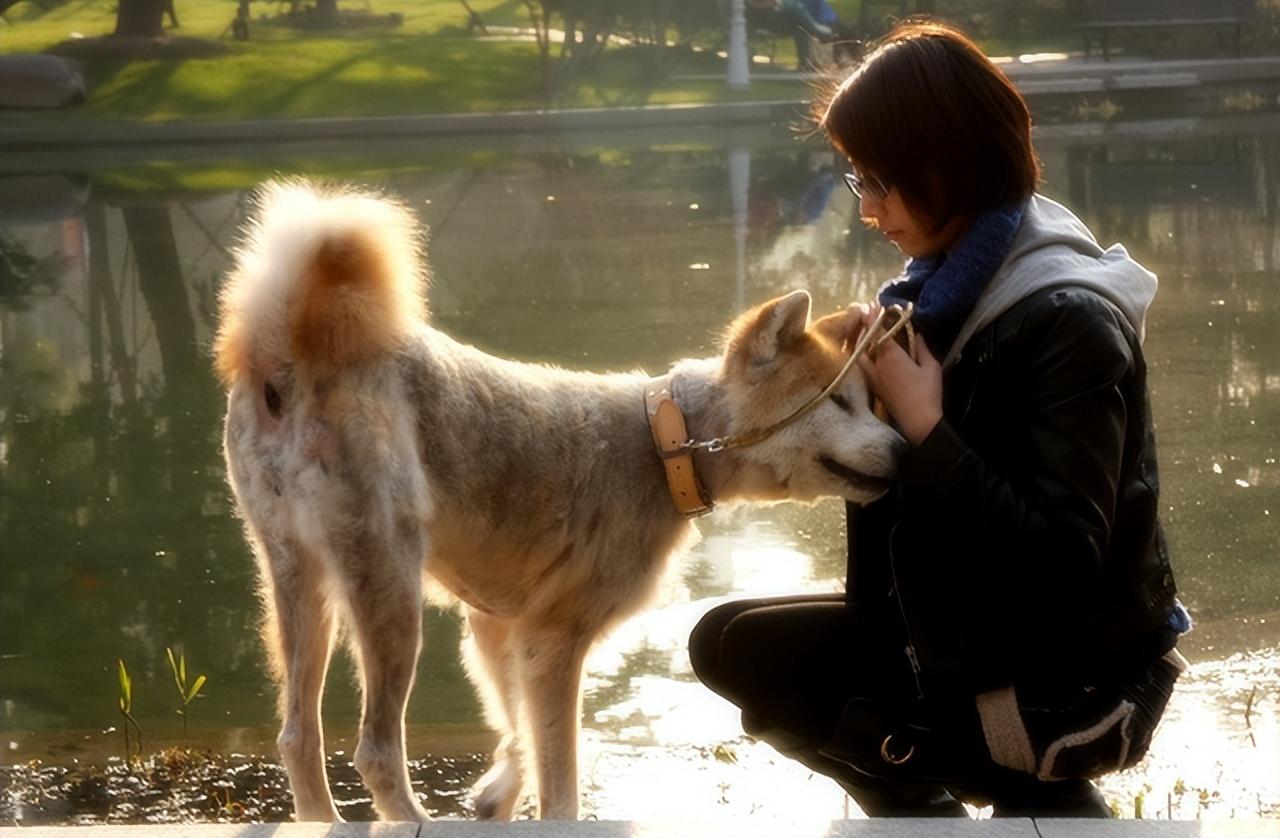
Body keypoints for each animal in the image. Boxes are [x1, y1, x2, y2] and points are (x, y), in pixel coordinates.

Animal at [215, 180, 906, 823]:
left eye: (871, 404)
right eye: (839, 402)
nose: (905, 448)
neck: (666, 442)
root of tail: (294, 353)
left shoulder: (501, 628)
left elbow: (519, 731)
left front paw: (497, 792)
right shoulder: (554, 642)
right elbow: (562, 780)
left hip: (302, 586)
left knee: (298, 737)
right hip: (389, 595)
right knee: (376, 751)